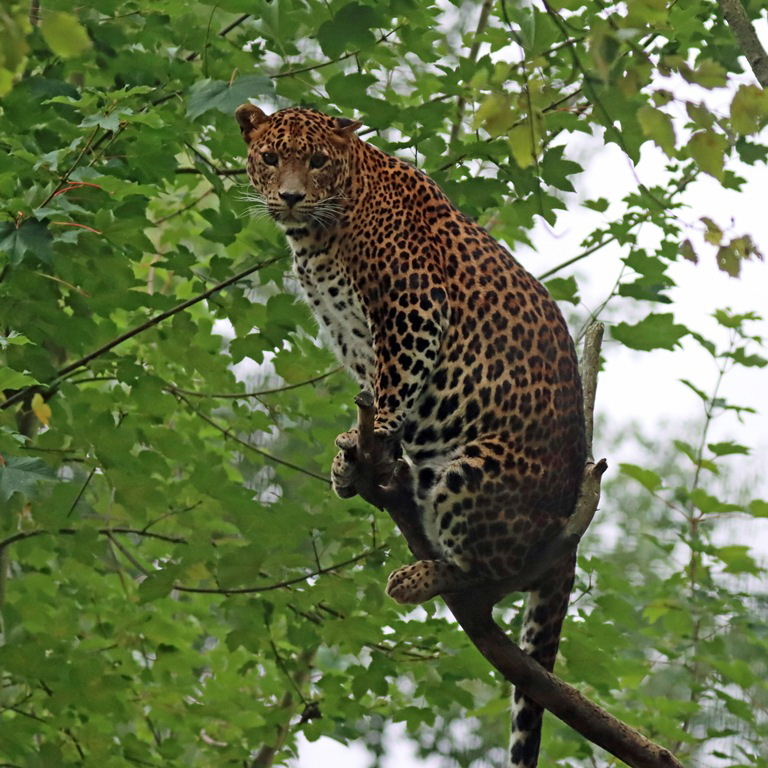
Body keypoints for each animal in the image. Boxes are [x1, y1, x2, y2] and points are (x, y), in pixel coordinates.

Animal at [235, 103, 586, 768]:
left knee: (493, 566)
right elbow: (373, 389)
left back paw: (420, 576)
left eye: (316, 160)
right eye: (270, 157)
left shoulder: (413, 307)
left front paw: (370, 438)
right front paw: (351, 459)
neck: (319, 235)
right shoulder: (349, 333)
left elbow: (395, 385)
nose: (290, 197)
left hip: (471, 473)